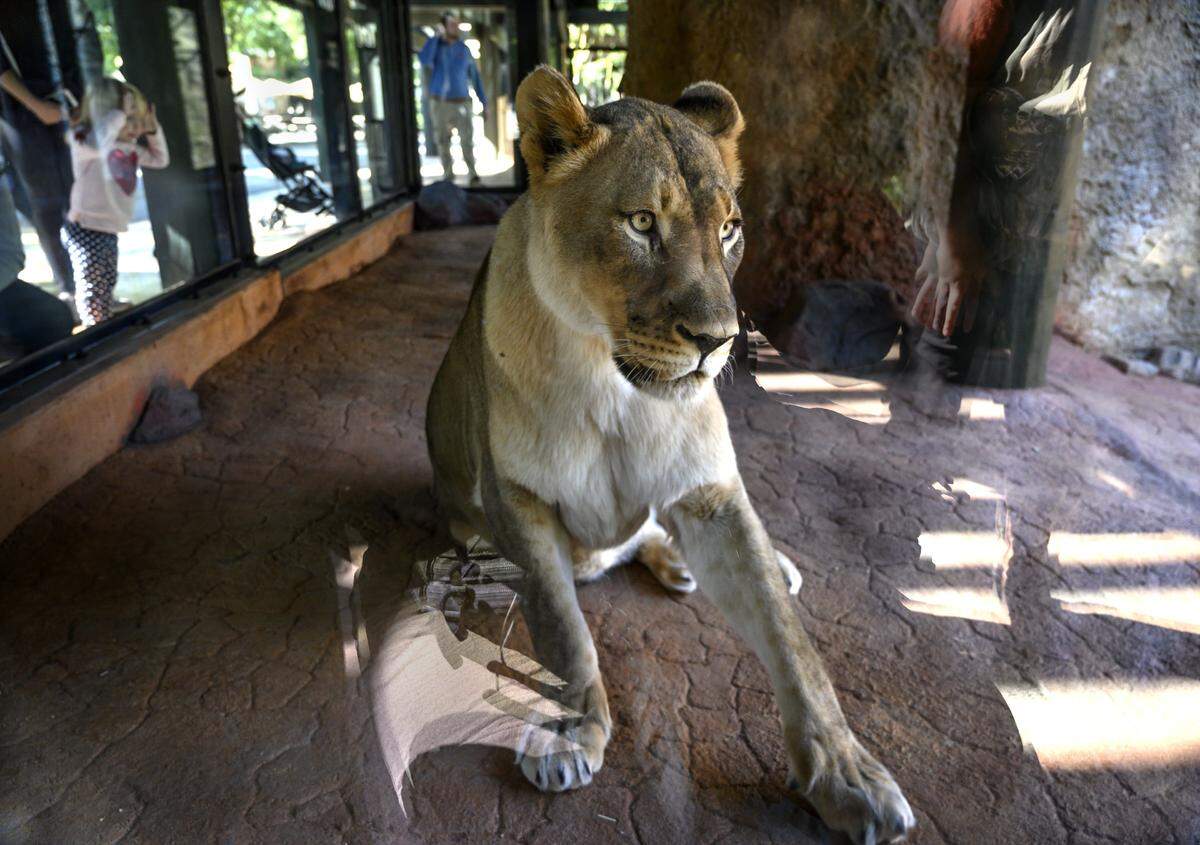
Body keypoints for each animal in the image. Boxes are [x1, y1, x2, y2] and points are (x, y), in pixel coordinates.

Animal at [425, 66, 915, 844]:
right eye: (641, 224)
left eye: (730, 229)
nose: (717, 340)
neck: (612, 385)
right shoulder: (518, 500)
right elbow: (562, 629)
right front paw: (568, 732)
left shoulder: (710, 492)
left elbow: (793, 644)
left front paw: (847, 773)